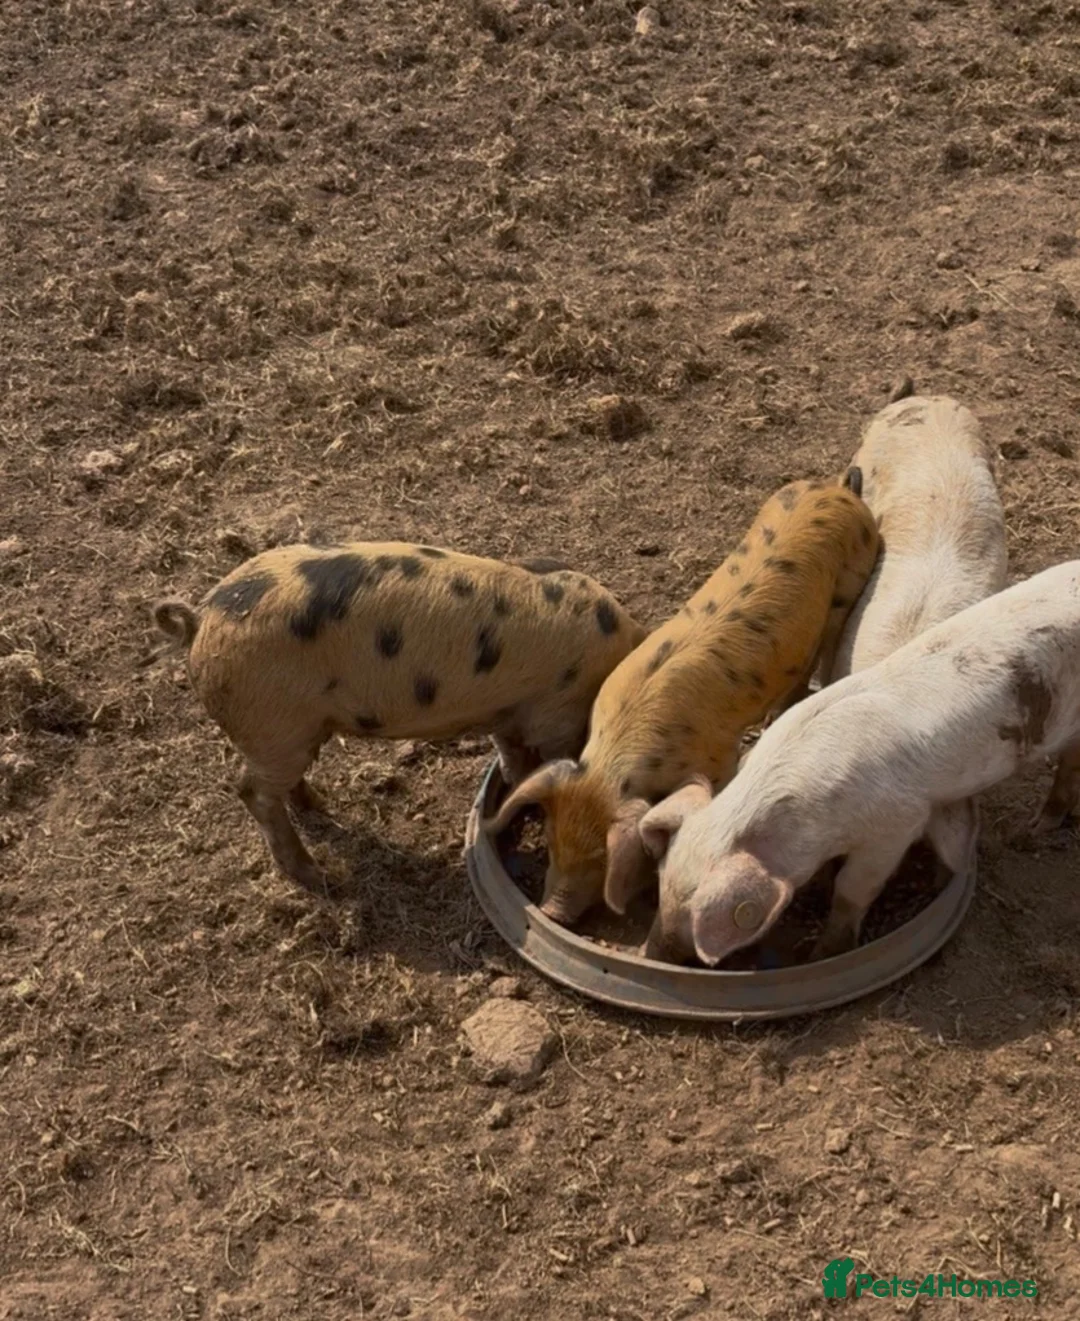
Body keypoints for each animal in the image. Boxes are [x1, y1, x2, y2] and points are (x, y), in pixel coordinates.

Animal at [153, 542, 647, 895]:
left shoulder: (511, 714)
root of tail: (201, 618)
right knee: (251, 791)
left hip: (293, 731)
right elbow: (547, 762)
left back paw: (320, 804)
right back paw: (321, 877)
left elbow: (514, 760)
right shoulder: (556, 713)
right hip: (272, 725)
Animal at [482, 474, 880, 926]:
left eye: (602, 858)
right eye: (550, 839)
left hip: (849, 586)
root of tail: (837, 489)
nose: (552, 912)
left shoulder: (718, 757)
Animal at [640, 560, 1080, 968]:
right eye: (660, 885)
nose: (648, 954)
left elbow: (852, 889)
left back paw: (1035, 828)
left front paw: (820, 955)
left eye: (693, 914)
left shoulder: (895, 826)